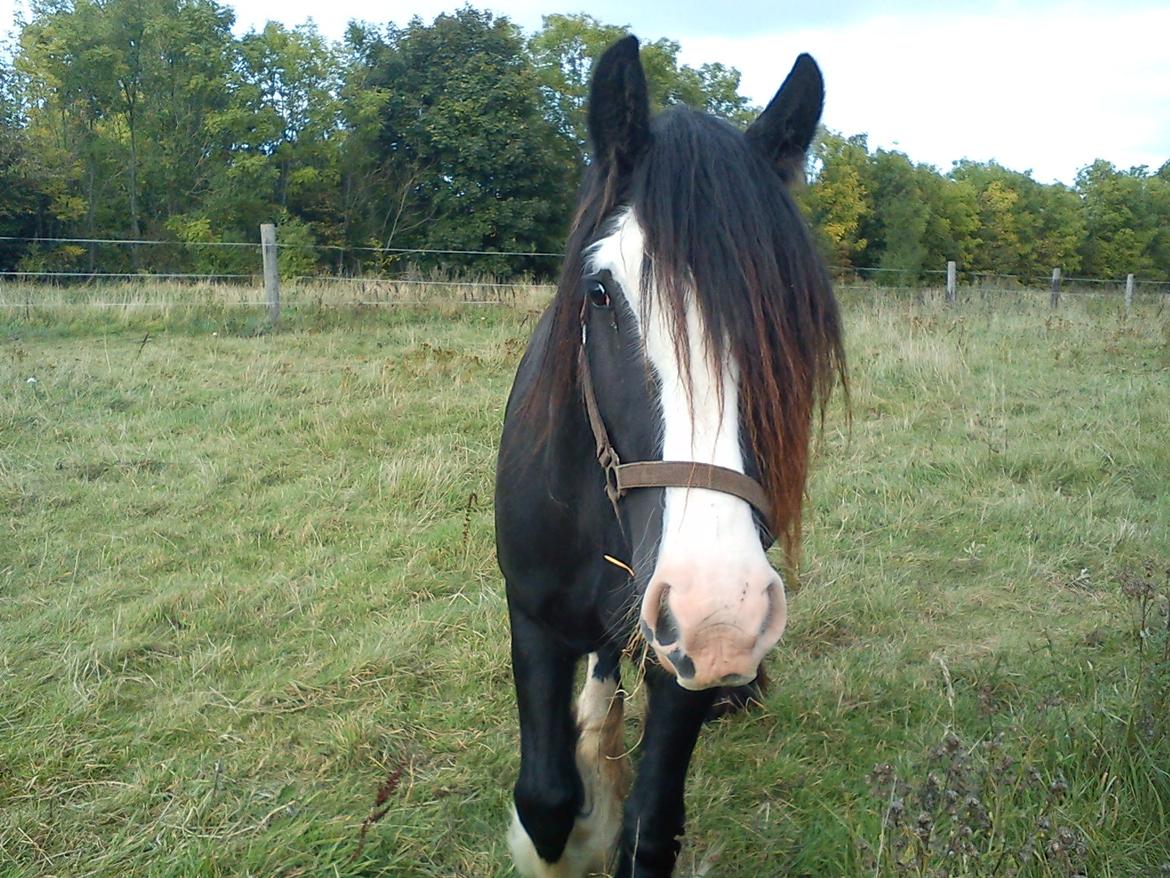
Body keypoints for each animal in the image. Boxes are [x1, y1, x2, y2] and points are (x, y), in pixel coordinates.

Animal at [491, 36, 842, 878]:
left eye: (792, 313)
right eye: (600, 293)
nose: (722, 613)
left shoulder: (680, 658)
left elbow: (653, 829)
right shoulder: (532, 613)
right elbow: (545, 800)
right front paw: (581, 814)